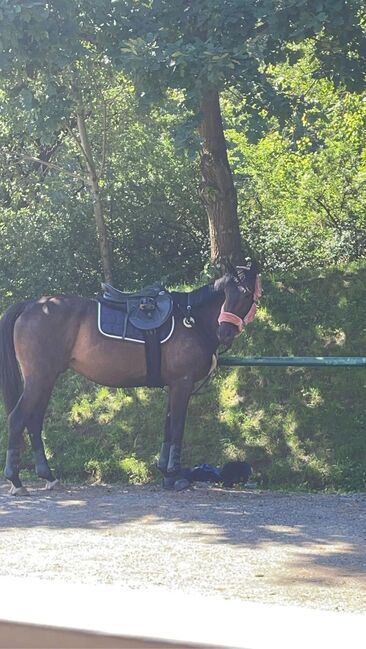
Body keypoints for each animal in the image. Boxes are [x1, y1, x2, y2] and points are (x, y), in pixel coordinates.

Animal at [0, 266, 260, 494]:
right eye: (230, 293)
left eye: (246, 294)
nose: (225, 332)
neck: (191, 319)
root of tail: (31, 305)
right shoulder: (182, 383)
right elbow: (177, 428)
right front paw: (176, 477)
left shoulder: (174, 385)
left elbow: (168, 428)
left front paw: (166, 474)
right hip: (39, 378)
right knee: (17, 418)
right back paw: (16, 481)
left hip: (46, 379)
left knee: (33, 422)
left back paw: (48, 477)